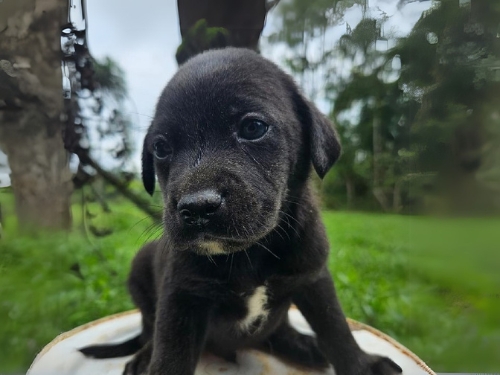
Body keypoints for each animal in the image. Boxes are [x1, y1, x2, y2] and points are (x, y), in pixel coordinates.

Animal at [82, 47, 402, 375]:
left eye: (253, 128)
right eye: (160, 148)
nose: (197, 207)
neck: (249, 253)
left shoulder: (314, 278)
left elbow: (336, 329)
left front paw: (362, 365)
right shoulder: (181, 298)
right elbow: (169, 356)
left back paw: (301, 344)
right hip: (140, 266)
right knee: (148, 329)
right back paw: (144, 356)